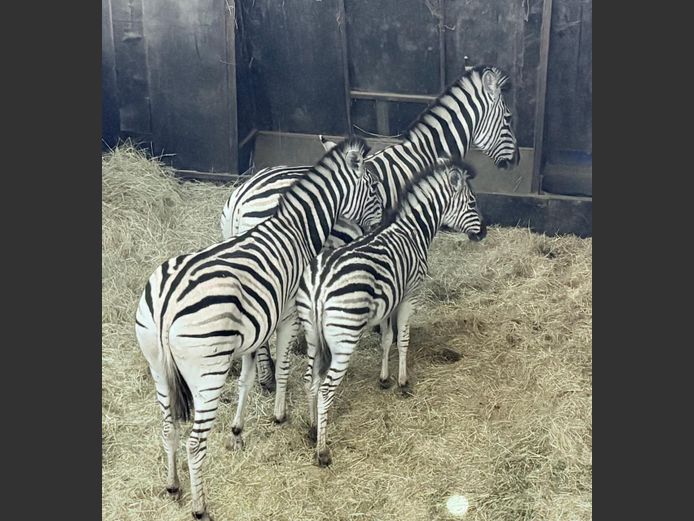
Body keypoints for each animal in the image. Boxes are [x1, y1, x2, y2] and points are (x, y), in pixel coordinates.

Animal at [135, 138, 374, 520]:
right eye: (373, 187)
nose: (374, 226)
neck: (297, 228)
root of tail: (167, 302)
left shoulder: (252, 333)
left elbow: (247, 380)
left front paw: (238, 429)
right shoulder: (291, 312)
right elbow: (288, 368)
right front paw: (286, 416)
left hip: (157, 364)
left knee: (168, 424)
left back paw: (173, 485)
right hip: (208, 370)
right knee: (194, 443)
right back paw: (200, 507)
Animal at [296, 156, 485, 467]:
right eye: (471, 202)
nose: (484, 232)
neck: (414, 231)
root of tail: (321, 280)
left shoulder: (389, 302)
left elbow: (386, 340)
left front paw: (384, 379)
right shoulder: (410, 295)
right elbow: (403, 339)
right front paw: (403, 382)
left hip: (312, 335)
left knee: (310, 381)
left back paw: (312, 429)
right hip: (345, 336)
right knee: (324, 389)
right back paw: (323, 451)